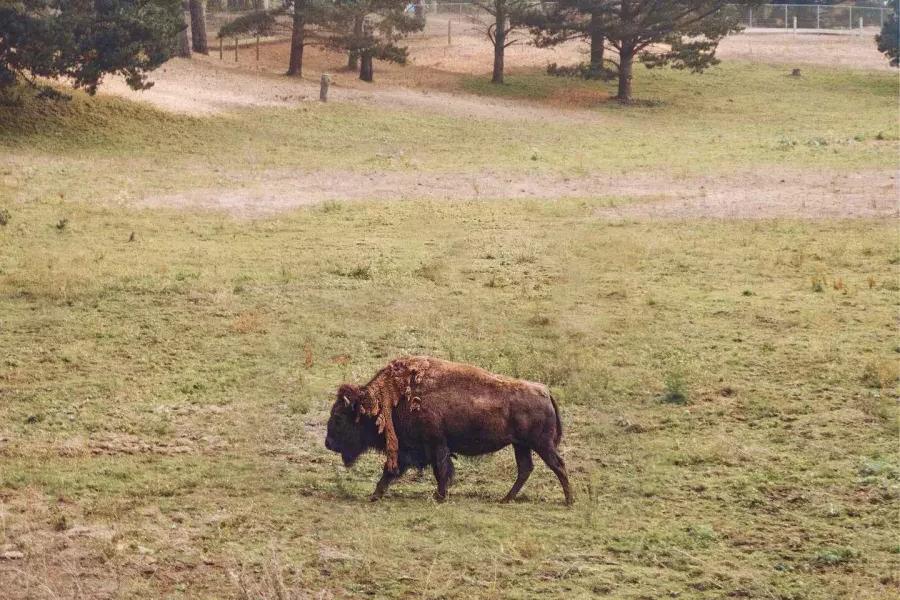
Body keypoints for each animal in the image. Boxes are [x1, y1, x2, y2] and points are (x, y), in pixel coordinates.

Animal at [326, 356, 572, 506]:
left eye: (338, 418)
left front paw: (439, 496)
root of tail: (544, 391)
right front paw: (376, 495)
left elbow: (439, 471)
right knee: (525, 469)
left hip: (540, 444)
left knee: (557, 465)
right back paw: (505, 499)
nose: (328, 443)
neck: (392, 399)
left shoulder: (434, 446)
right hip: (521, 445)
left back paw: (569, 501)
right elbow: (394, 472)